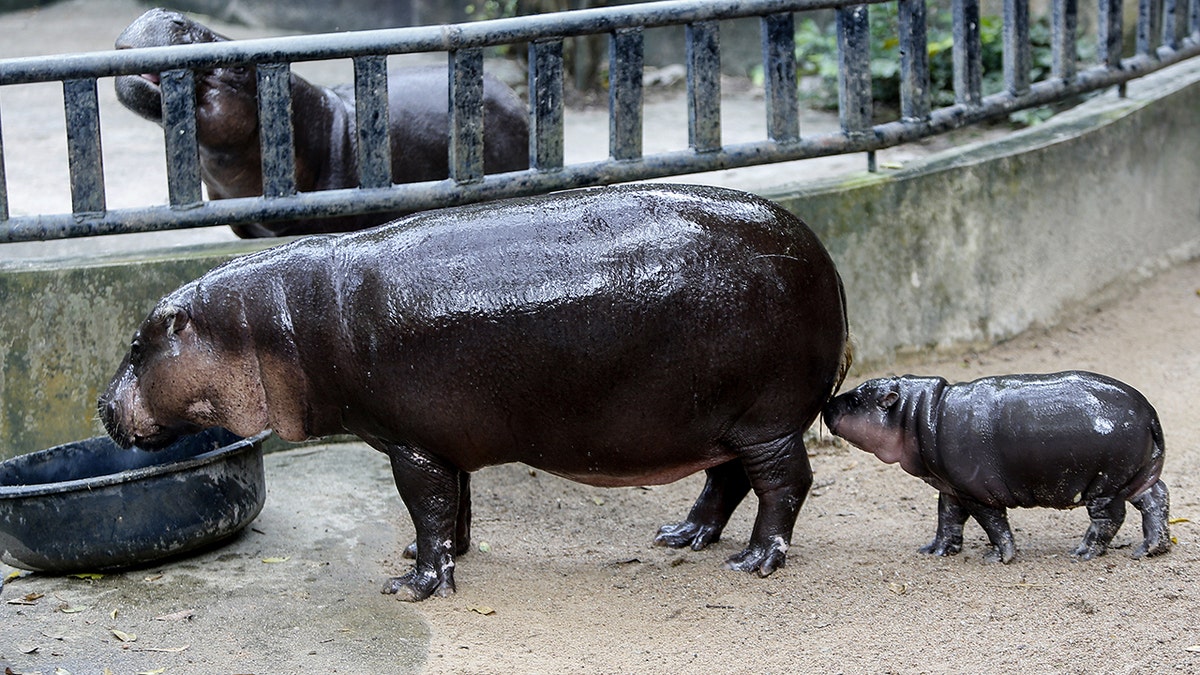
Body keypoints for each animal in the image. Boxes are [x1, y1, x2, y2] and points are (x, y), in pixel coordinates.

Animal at [100, 182, 854, 598]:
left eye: (137, 345)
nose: (102, 405)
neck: (272, 322)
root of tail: (826, 258)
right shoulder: (442, 440)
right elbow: (453, 506)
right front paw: (434, 558)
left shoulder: (410, 444)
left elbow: (426, 506)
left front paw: (413, 586)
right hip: (719, 421)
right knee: (725, 481)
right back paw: (682, 536)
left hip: (766, 418)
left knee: (784, 485)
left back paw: (753, 563)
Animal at [825, 369, 1171, 559]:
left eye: (855, 400)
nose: (827, 403)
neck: (918, 413)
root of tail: (1149, 411)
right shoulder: (951, 488)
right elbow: (947, 519)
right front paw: (935, 551)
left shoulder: (977, 491)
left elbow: (993, 524)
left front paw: (998, 557)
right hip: (1136, 477)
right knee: (1157, 499)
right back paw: (1151, 549)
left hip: (1104, 484)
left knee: (1110, 518)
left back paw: (1082, 553)